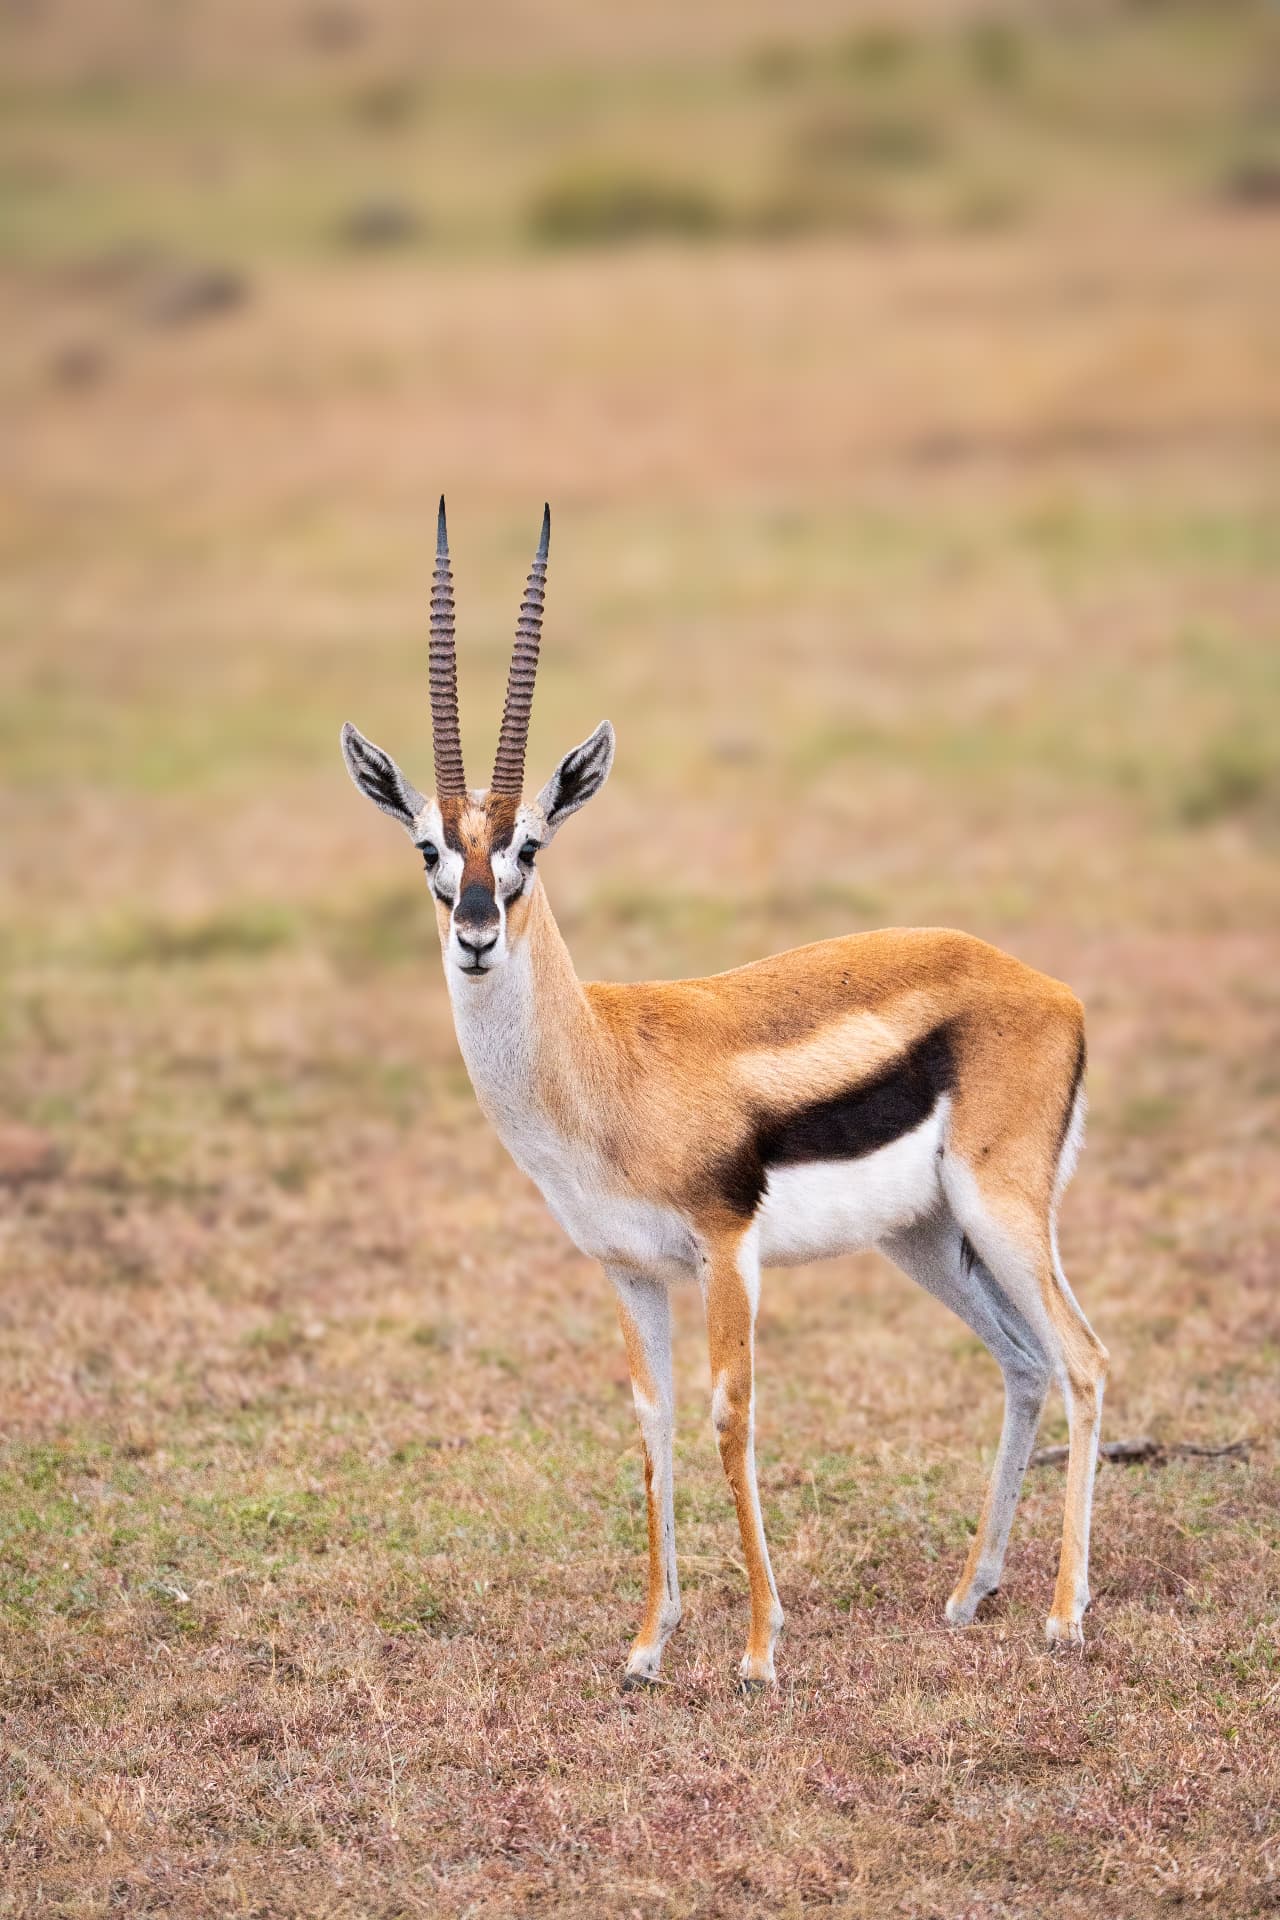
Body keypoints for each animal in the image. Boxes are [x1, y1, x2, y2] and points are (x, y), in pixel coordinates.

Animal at [340, 500, 1108, 1690]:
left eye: (527, 845)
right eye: (429, 846)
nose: (473, 934)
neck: (607, 1067)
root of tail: (1047, 989)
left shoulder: (724, 1247)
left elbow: (729, 1416)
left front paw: (756, 1651)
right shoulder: (627, 1269)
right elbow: (652, 1424)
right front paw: (646, 1647)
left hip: (1003, 1213)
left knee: (1082, 1360)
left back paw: (1064, 1616)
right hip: (926, 1238)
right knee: (1023, 1363)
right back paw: (969, 1592)